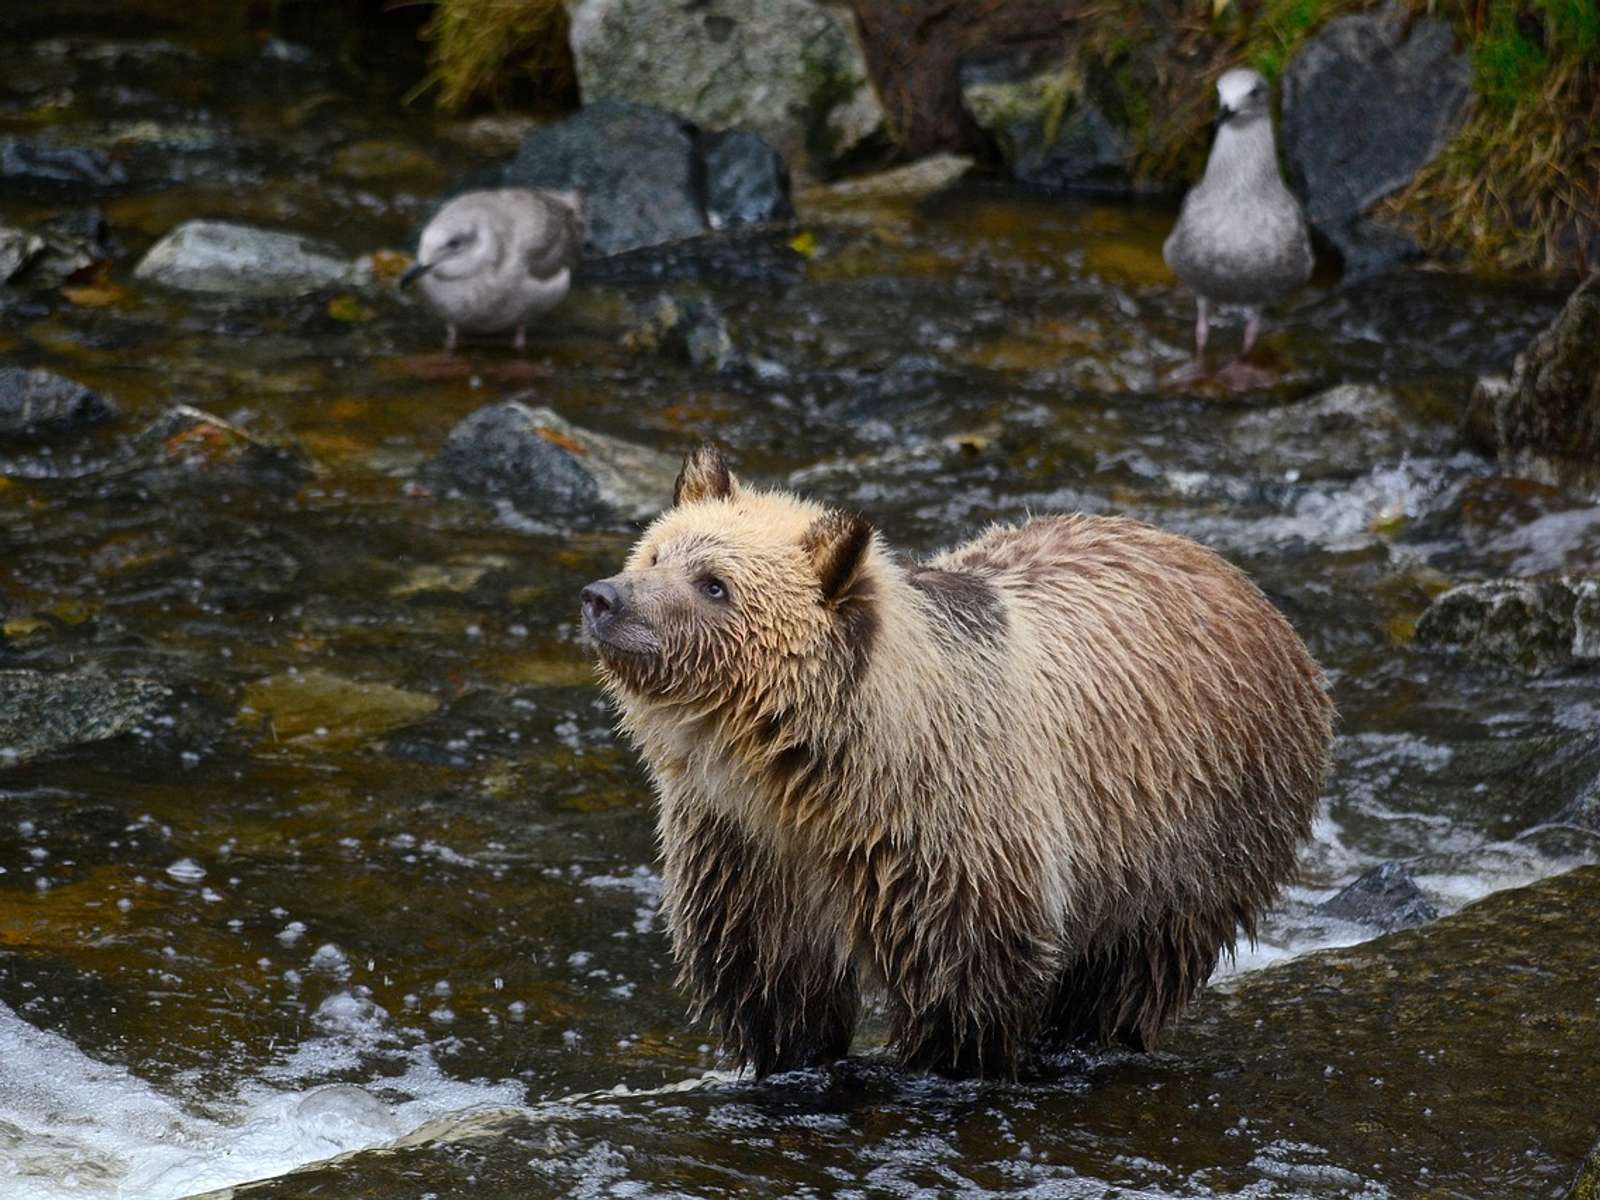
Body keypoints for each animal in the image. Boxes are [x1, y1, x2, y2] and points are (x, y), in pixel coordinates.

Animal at [581, 445, 1333, 1079]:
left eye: (714, 583)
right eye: (655, 553)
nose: (604, 599)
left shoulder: (951, 836)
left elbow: (963, 988)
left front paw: (942, 1068)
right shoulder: (745, 849)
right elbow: (776, 984)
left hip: (1194, 826)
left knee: (1135, 965)